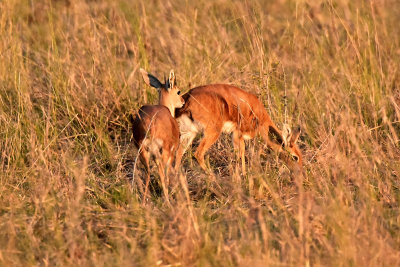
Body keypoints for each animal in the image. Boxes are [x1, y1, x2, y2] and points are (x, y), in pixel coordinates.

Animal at [134, 68, 185, 201]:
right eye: (178, 91)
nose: (183, 102)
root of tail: (150, 124)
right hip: (163, 152)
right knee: (163, 173)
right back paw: (166, 199)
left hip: (143, 152)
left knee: (147, 173)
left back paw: (145, 199)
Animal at [173, 85, 302, 175]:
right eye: (295, 157)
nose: (300, 172)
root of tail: (187, 99)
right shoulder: (237, 133)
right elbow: (241, 152)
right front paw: (243, 176)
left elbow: (241, 152)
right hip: (213, 132)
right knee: (198, 153)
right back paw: (213, 178)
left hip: (190, 133)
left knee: (179, 152)